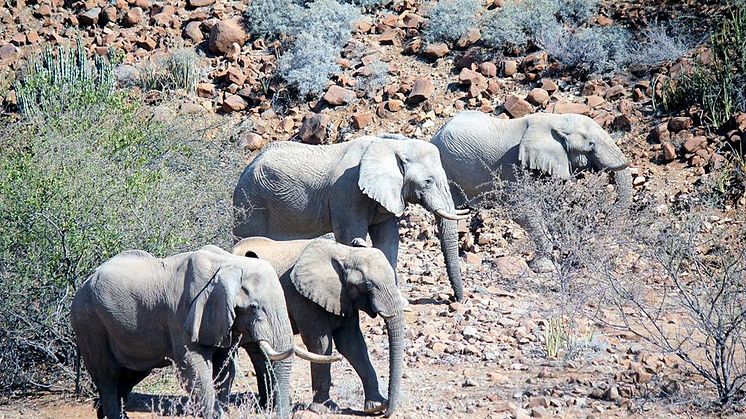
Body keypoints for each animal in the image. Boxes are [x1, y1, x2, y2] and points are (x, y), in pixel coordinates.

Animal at [70, 244, 338, 418]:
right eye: (253, 307)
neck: (229, 264)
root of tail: (82, 284)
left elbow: (224, 368)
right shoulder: (182, 313)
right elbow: (194, 368)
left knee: (132, 373)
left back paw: (104, 412)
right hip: (88, 322)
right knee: (107, 375)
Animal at [232, 136, 464, 304]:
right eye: (427, 181)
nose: (455, 300)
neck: (392, 144)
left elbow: (388, 239)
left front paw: (399, 300)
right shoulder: (346, 192)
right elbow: (352, 235)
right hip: (250, 206)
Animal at [232, 238, 406, 418]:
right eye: (368, 285)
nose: (386, 412)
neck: (345, 252)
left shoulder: (344, 297)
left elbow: (352, 345)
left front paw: (375, 406)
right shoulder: (302, 297)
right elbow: (320, 345)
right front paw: (323, 408)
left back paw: (268, 406)